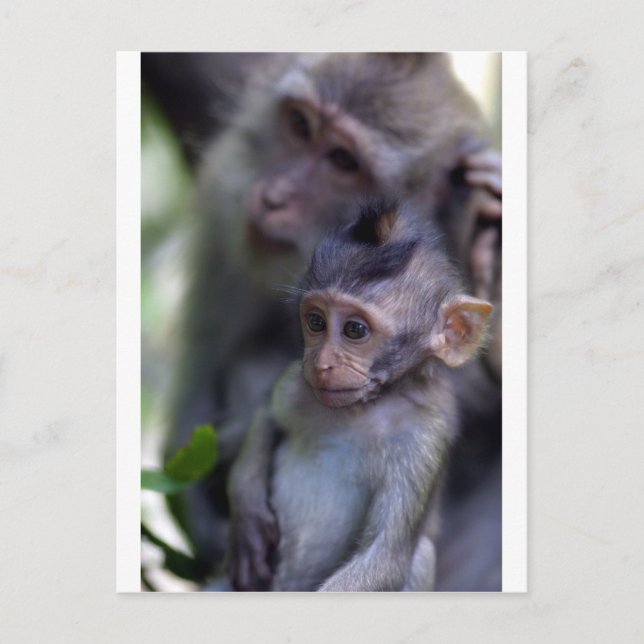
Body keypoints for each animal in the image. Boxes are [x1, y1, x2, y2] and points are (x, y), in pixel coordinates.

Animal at [227, 201, 493, 591]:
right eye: (316, 322)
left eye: (355, 329)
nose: (321, 364)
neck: (364, 408)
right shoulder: (298, 385)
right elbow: (266, 416)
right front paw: (246, 516)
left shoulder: (421, 437)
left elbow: (385, 557)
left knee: (420, 554)